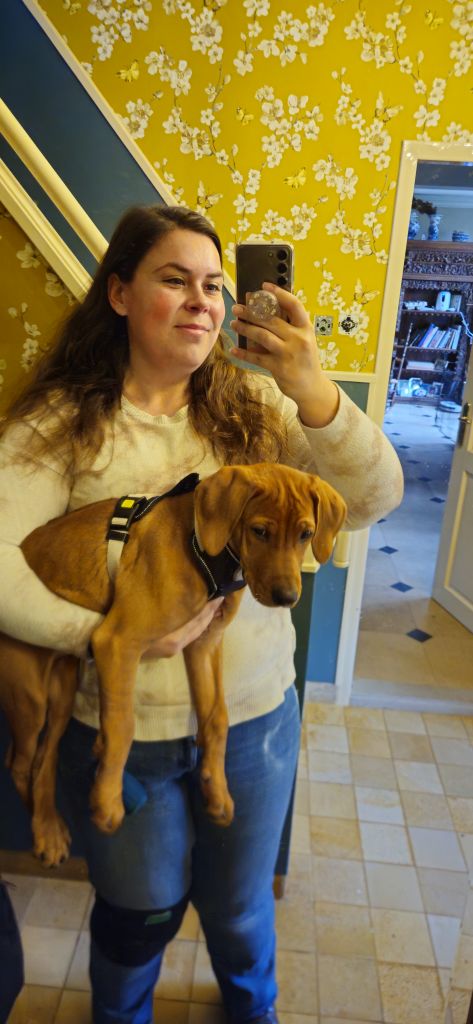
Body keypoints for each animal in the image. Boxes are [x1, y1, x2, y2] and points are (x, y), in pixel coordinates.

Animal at [0, 463, 346, 866]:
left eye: (306, 533)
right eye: (260, 531)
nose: (287, 597)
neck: (203, 546)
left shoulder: (204, 645)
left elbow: (217, 718)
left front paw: (216, 791)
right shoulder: (117, 642)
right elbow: (122, 724)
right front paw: (107, 803)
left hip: (62, 690)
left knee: (44, 759)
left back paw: (51, 828)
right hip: (30, 694)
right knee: (20, 762)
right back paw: (48, 830)